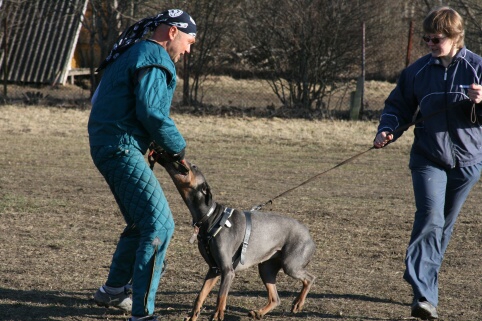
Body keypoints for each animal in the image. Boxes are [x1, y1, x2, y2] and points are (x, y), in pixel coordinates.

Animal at [160, 158, 314, 320]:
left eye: (194, 167)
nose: (182, 159)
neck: (211, 217)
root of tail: (308, 232)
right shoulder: (214, 269)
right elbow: (200, 295)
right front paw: (192, 317)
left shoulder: (227, 271)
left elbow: (221, 296)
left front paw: (217, 316)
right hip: (266, 268)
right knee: (275, 298)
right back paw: (259, 313)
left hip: (290, 265)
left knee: (309, 278)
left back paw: (298, 303)